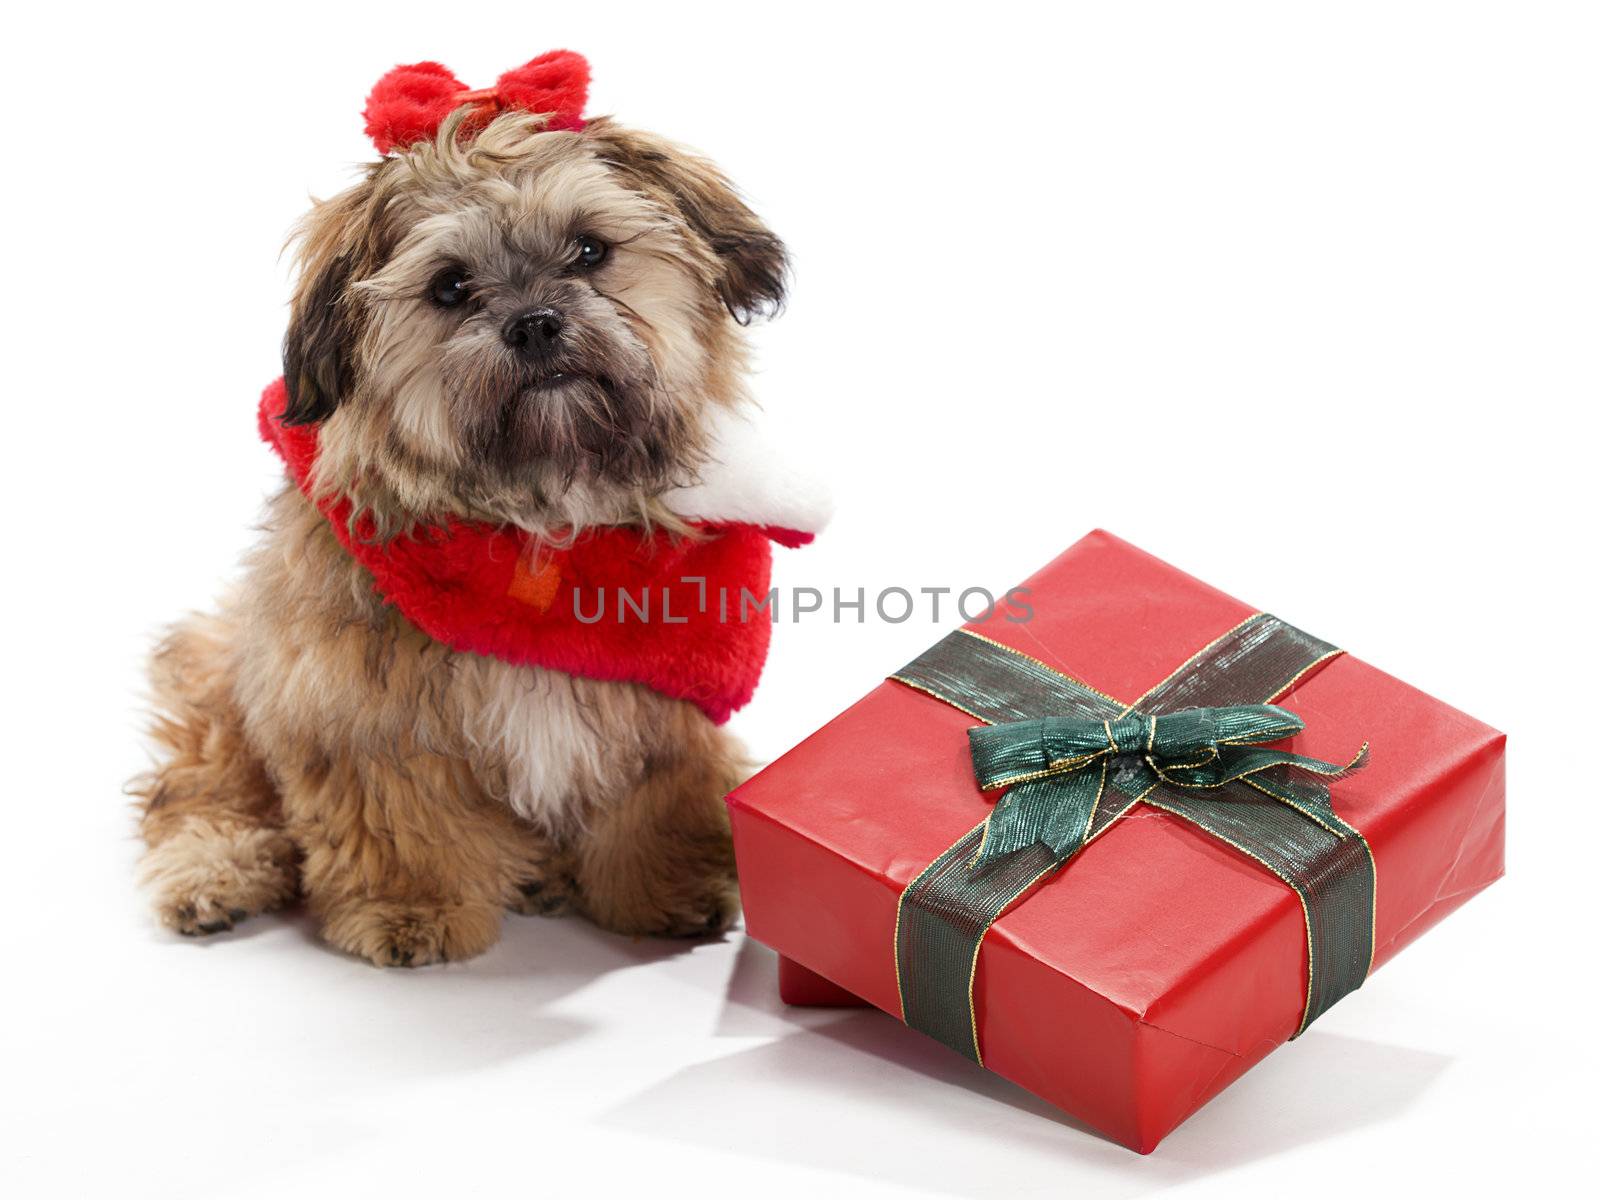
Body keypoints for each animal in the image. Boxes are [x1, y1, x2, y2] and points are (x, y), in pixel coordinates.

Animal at [128, 56, 812, 972]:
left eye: (590, 249)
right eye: (449, 286)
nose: (535, 324)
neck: (541, 527)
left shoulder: (665, 709)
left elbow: (656, 804)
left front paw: (668, 890)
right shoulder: (357, 708)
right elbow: (401, 819)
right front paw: (412, 910)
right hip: (228, 678)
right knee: (198, 788)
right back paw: (215, 872)